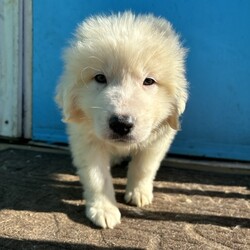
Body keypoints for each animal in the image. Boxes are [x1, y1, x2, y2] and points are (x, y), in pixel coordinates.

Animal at [55, 12, 188, 229]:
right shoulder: (87, 140)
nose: (121, 124)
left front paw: (138, 193)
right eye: (100, 78)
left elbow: (144, 166)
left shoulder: (159, 138)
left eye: (148, 81)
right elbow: (97, 177)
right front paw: (104, 209)